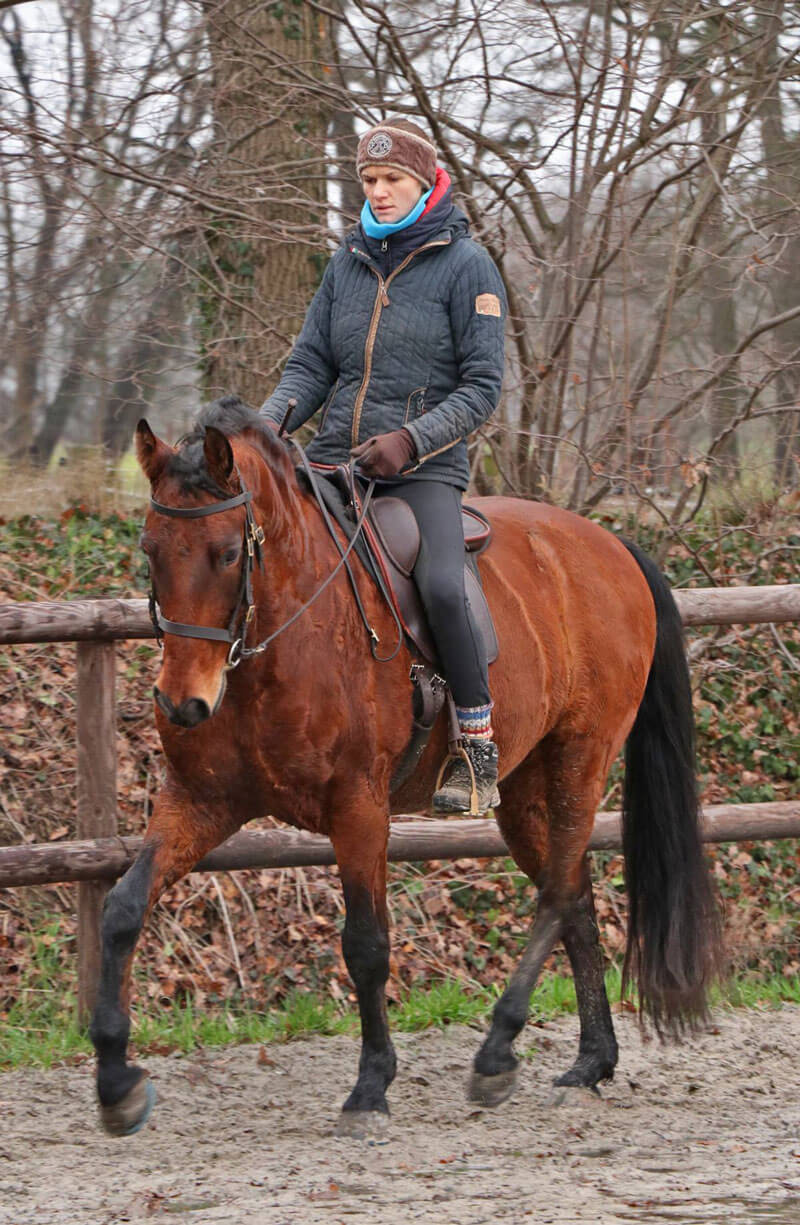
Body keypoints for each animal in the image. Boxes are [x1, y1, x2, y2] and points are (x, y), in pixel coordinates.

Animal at [90, 396, 720, 1131]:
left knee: (559, 893)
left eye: (225, 553)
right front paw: (117, 1081)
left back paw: (498, 1050)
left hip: (579, 760)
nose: (183, 703)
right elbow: (122, 909)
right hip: (526, 788)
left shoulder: (358, 805)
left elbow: (366, 943)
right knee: (575, 898)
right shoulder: (202, 800)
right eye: (150, 550)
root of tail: (613, 546)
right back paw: (591, 1059)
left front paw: (371, 1085)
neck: (282, 635)